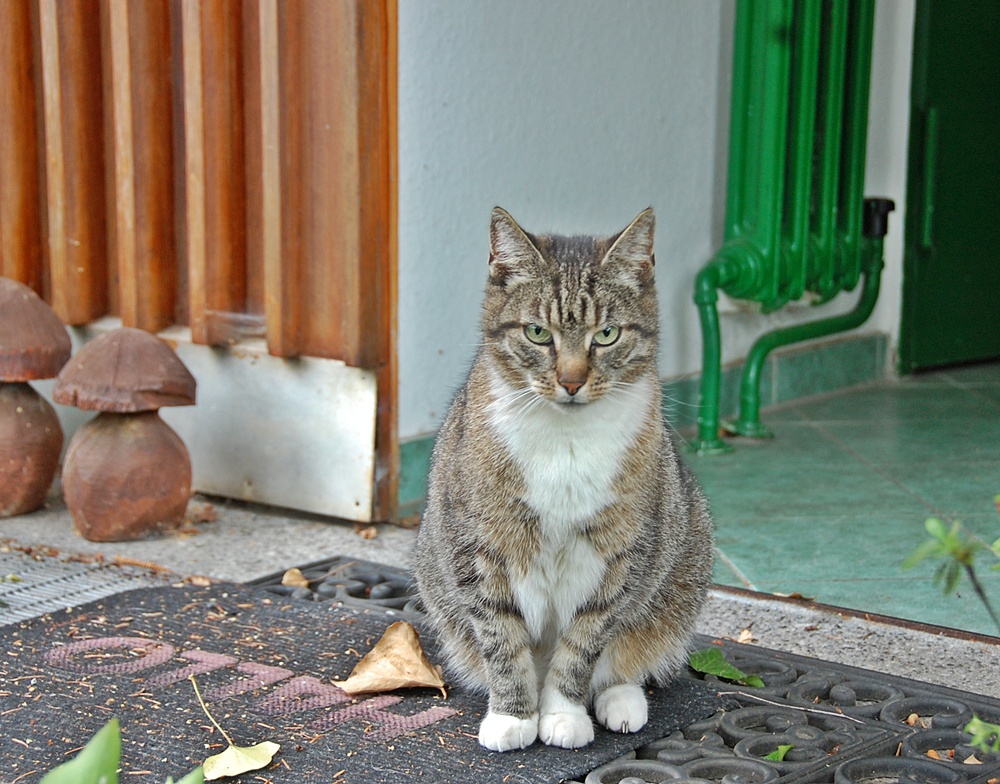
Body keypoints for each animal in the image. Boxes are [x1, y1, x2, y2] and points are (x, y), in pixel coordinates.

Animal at [412, 208, 712, 752]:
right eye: (537, 332)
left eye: (607, 334)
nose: (572, 381)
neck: (566, 440)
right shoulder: (478, 547)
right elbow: (500, 637)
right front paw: (513, 715)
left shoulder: (623, 554)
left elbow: (584, 643)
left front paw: (563, 713)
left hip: (684, 561)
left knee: (626, 657)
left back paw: (621, 701)